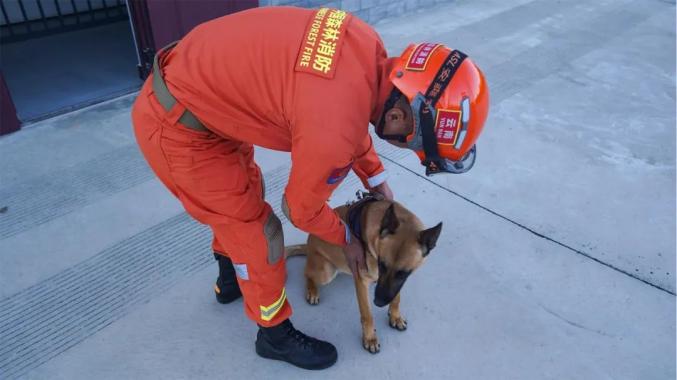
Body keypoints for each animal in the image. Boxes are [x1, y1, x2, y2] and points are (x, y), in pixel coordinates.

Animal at [286, 194, 440, 354]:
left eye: (403, 273)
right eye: (381, 265)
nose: (378, 302)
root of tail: (308, 244)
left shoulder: (398, 282)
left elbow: (396, 297)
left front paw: (395, 316)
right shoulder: (362, 281)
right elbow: (367, 315)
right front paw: (370, 338)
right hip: (326, 271)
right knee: (307, 273)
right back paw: (312, 291)